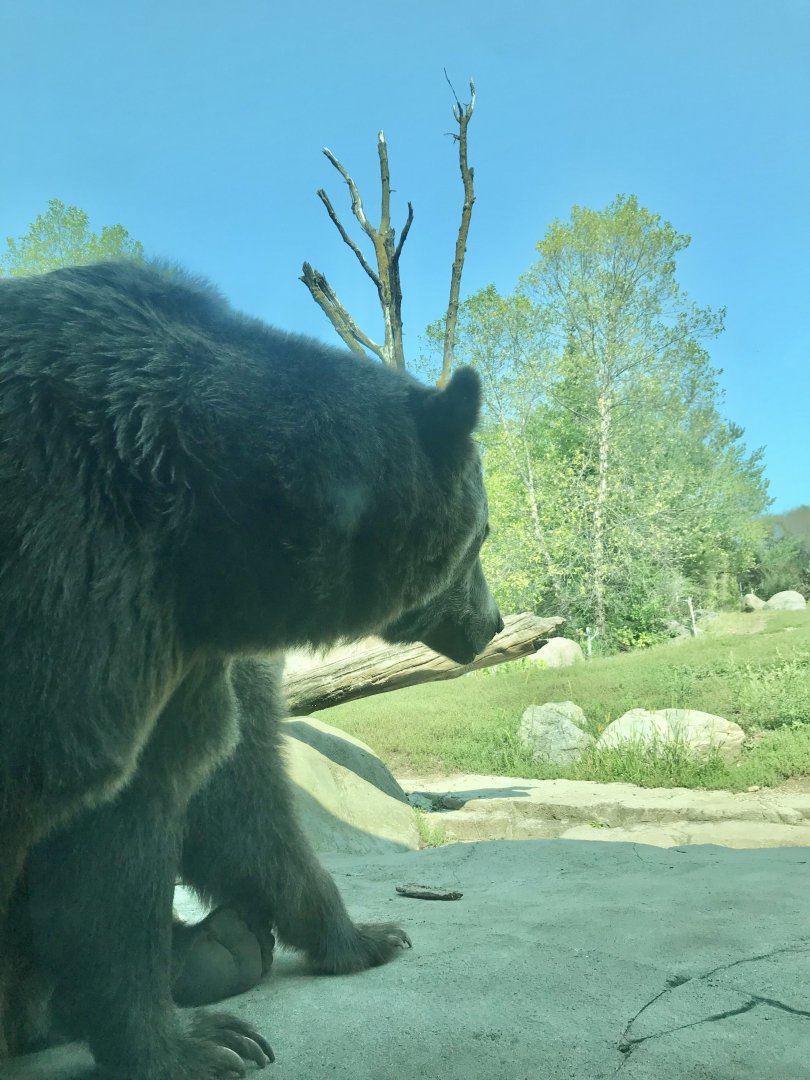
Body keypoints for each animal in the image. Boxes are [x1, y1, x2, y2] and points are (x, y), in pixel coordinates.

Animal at [0, 261, 502, 1078]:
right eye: (482, 533)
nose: (491, 622)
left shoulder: (162, 667)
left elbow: (189, 812)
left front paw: (360, 940)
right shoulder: (63, 602)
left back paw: (217, 948)